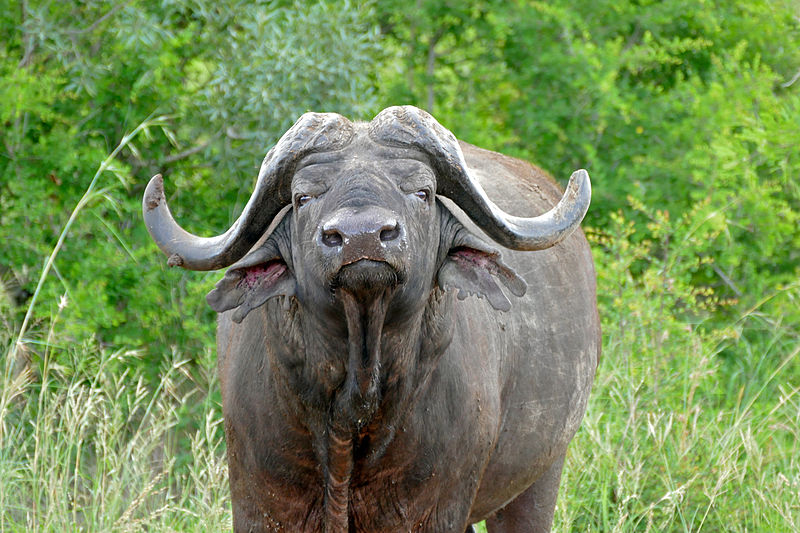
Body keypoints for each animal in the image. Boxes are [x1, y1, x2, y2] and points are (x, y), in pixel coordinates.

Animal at [144, 106, 596, 528]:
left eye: (422, 192)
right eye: (302, 197)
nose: (361, 237)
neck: (356, 401)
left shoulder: (434, 510)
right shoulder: (261, 504)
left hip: (541, 476)